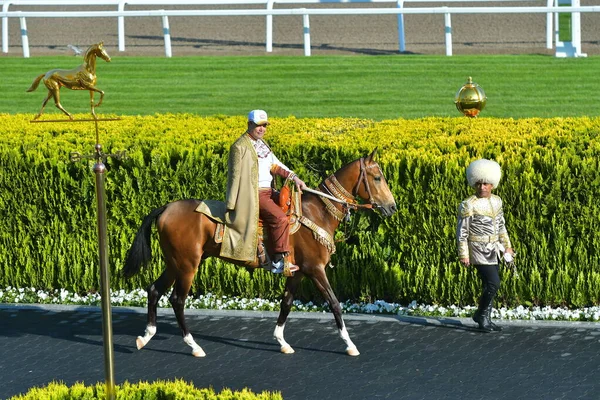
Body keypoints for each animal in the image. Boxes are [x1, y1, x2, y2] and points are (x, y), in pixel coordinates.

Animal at [122, 148, 396, 358]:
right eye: (377, 177)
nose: (392, 207)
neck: (316, 212)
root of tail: (167, 208)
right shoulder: (315, 269)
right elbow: (335, 303)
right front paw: (350, 344)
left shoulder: (297, 272)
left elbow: (286, 303)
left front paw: (282, 341)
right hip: (188, 265)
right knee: (177, 300)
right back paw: (194, 345)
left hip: (174, 263)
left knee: (154, 290)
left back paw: (146, 336)